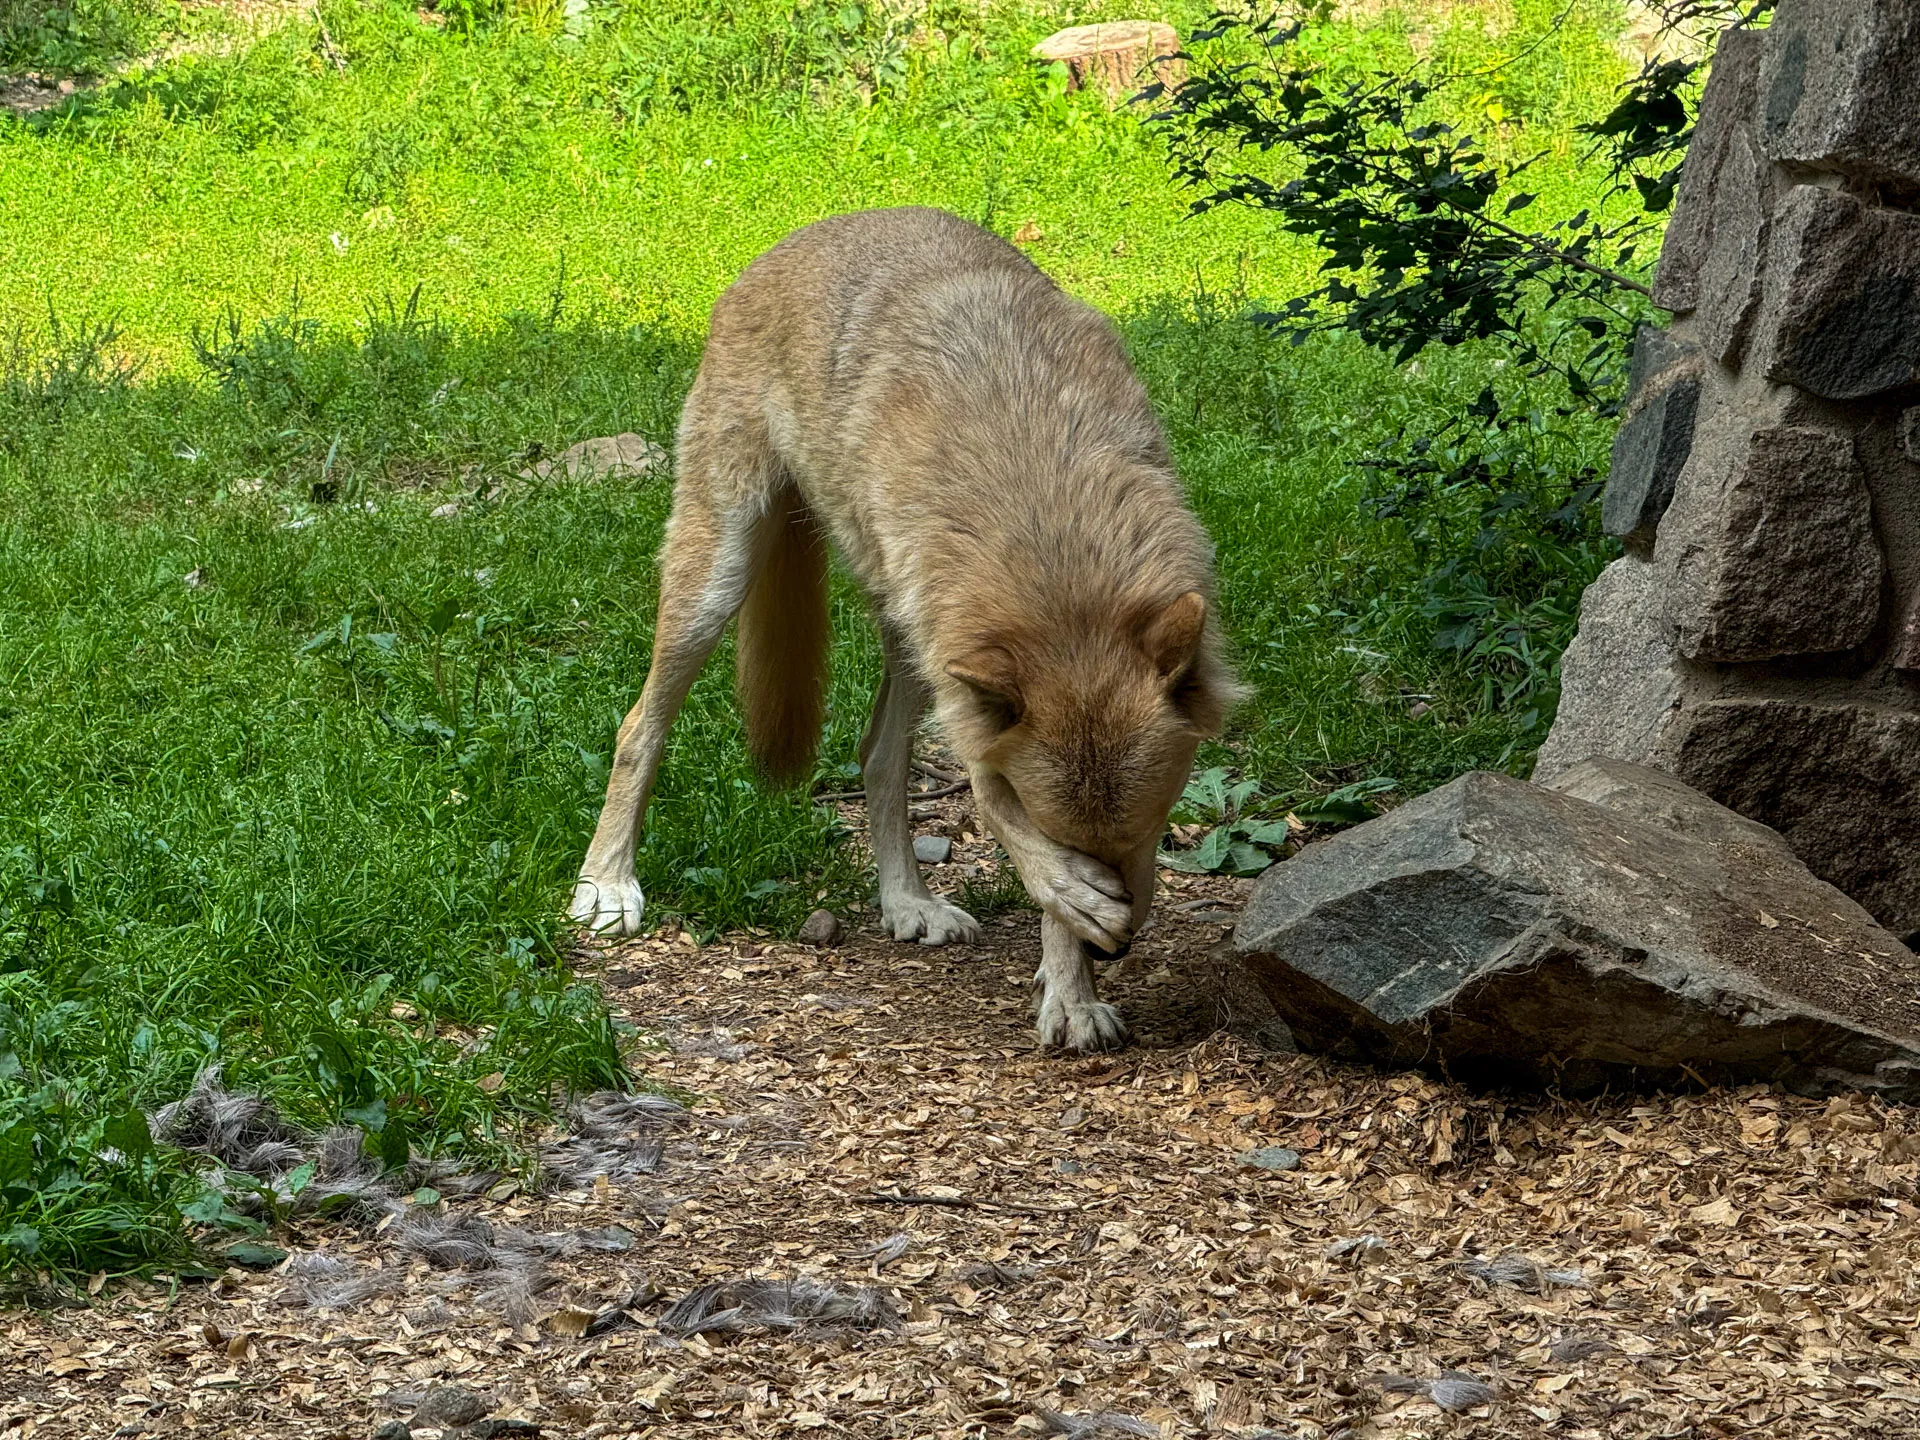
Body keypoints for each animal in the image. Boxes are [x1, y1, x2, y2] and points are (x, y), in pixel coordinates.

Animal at [570, 207, 1237, 1051]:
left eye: (1146, 828)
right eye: (1080, 843)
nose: (1111, 952)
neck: (1050, 537)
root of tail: (787, 243)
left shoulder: (965, 668)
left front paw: (1072, 993)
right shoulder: (974, 693)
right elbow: (1004, 816)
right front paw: (1073, 938)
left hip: (906, 644)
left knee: (875, 756)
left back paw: (907, 903)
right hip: (717, 584)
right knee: (639, 725)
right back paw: (606, 884)